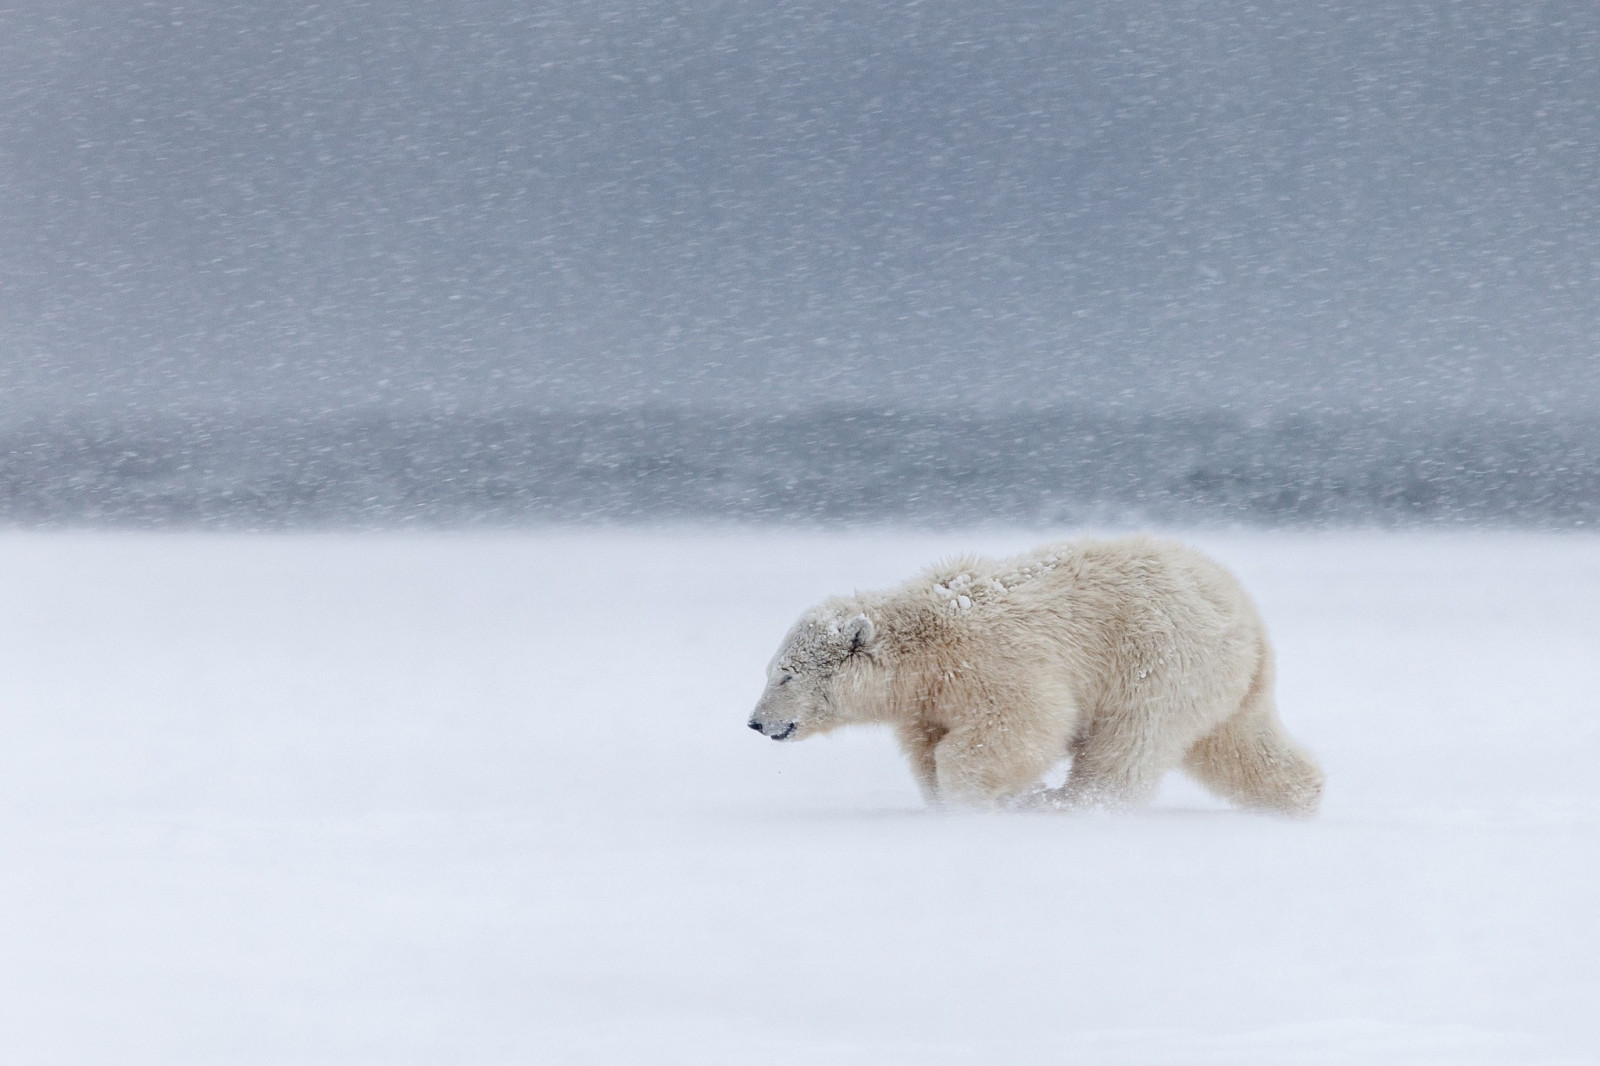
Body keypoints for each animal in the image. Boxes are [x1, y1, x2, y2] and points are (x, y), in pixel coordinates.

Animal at [748, 536, 1323, 815]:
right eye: (772, 670)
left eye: (785, 676)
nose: (755, 722)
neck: (926, 647)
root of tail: (1246, 616)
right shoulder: (927, 701)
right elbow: (927, 750)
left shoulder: (995, 663)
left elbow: (1026, 725)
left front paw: (983, 799)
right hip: (1228, 684)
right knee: (1241, 744)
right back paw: (1301, 797)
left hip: (1161, 661)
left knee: (1128, 743)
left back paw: (1067, 803)